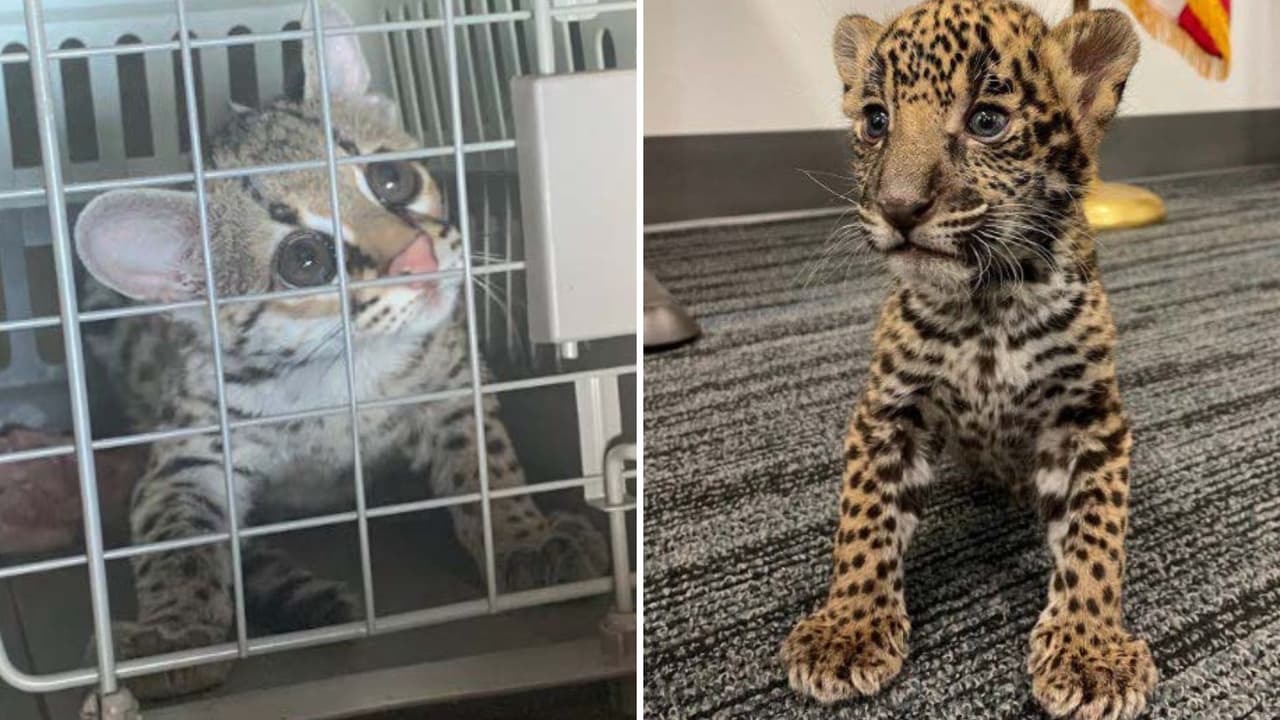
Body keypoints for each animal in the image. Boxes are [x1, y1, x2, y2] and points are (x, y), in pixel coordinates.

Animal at [779, 2, 1158, 718]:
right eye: (876, 120)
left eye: (987, 121)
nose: (898, 208)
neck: (988, 307)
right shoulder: (888, 411)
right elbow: (863, 523)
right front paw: (848, 629)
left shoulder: (1090, 419)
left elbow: (1096, 539)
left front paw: (1090, 652)